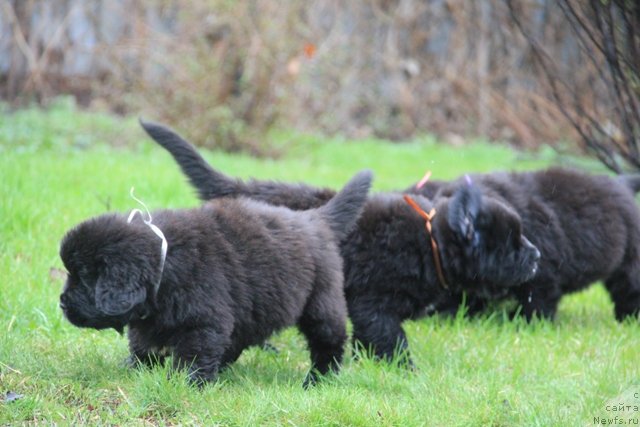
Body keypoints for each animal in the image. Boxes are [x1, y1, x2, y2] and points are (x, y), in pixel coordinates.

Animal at [58, 171, 376, 388]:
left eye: (83, 277)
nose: (61, 303)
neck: (165, 263)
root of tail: (316, 218)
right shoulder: (150, 320)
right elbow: (142, 346)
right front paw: (138, 370)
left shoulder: (203, 323)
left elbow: (192, 357)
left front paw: (183, 384)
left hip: (322, 301)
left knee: (329, 340)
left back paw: (319, 379)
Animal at [140, 121, 540, 364]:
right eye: (510, 243)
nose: (536, 255)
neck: (430, 242)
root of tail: (241, 189)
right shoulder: (371, 304)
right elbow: (391, 337)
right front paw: (404, 369)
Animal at [420, 169, 640, 322]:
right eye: (511, 240)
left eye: (518, 235)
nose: (536, 254)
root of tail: (622, 183)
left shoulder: (542, 277)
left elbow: (535, 300)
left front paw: (526, 322)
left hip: (630, 262)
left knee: (629, 288)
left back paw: (628, 318)